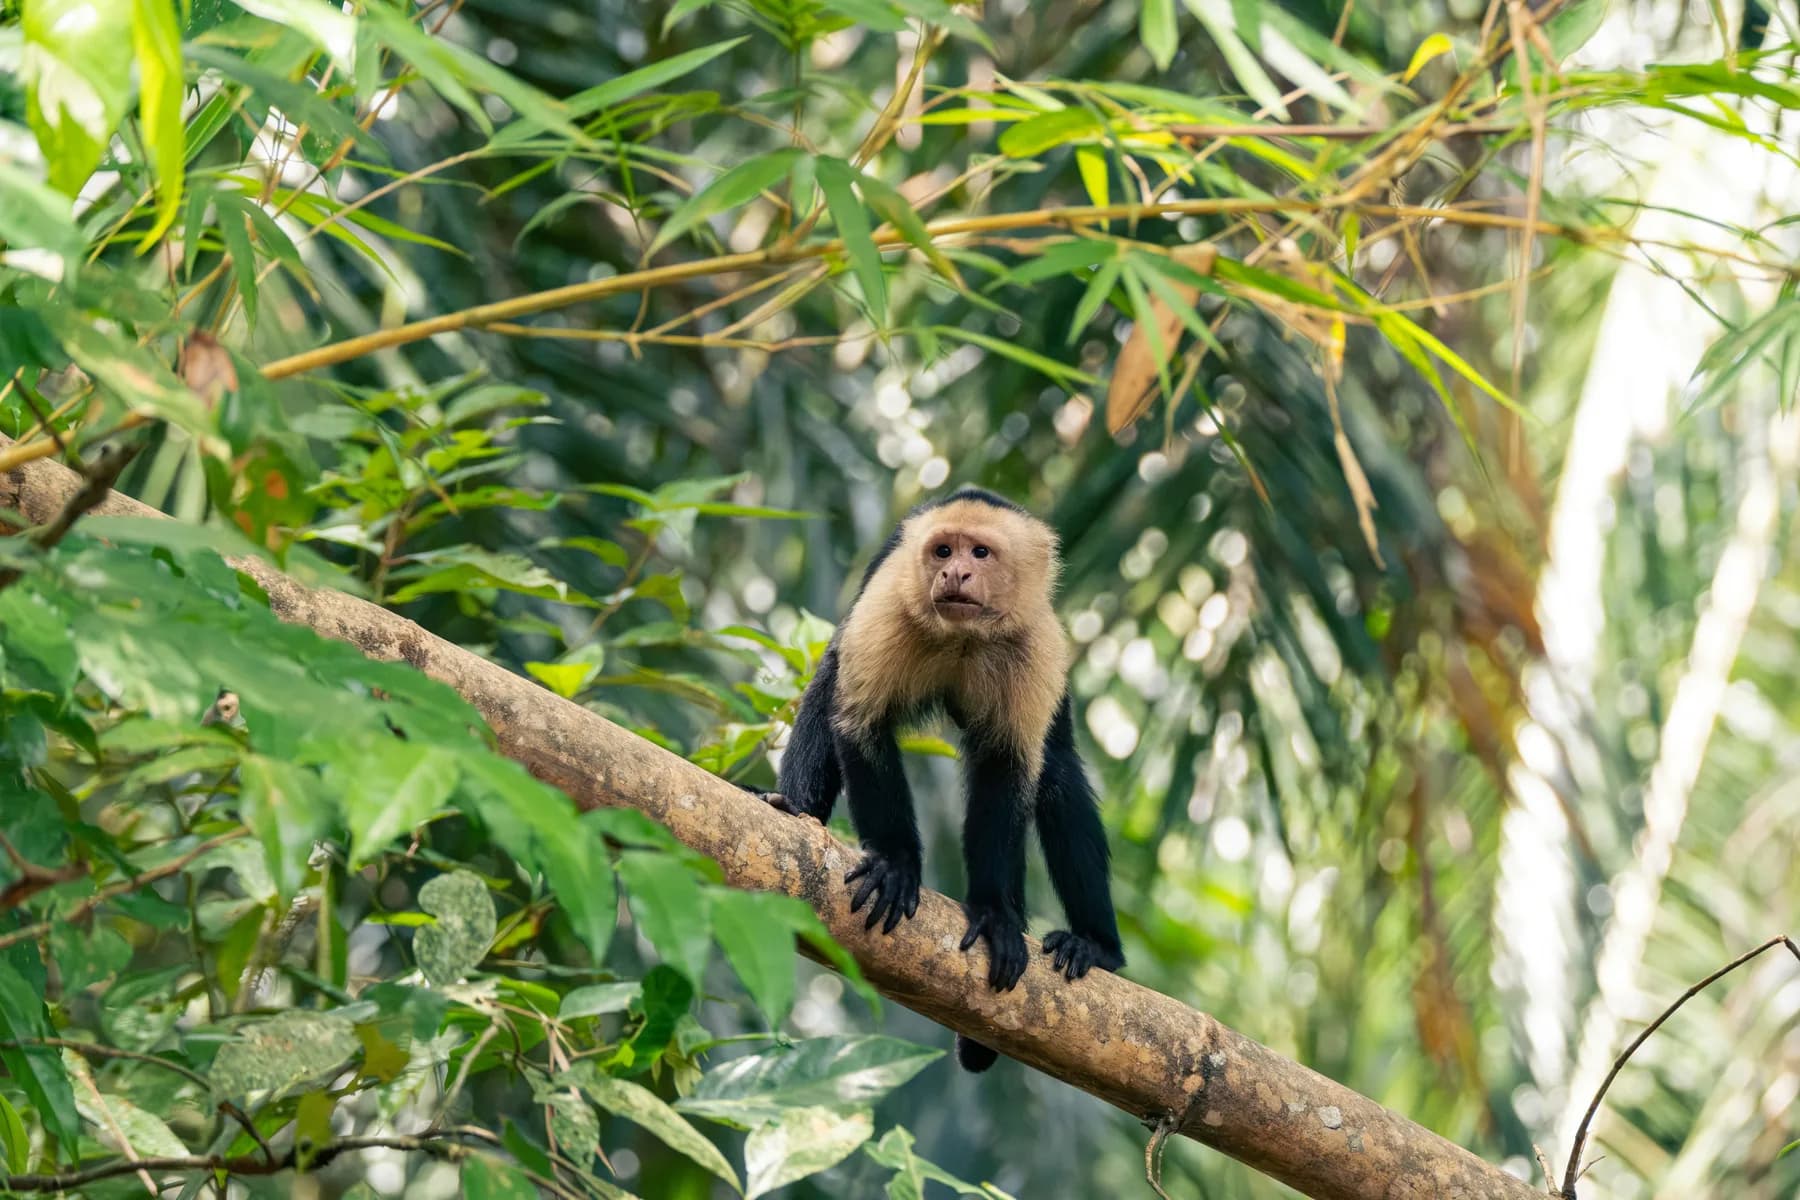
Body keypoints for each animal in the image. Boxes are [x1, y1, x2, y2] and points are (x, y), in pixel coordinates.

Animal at [757, 487, 1124, 1072]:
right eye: (943, 550)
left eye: (980, 553)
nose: (955, 573)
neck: (964, 636)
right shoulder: (888, 606)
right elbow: (860, 723)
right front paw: (895, 864)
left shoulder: (1035, 644)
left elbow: (1008, 769)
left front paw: (995, 913)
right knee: (831, 676)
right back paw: (792, 808)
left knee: (1058, 773)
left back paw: (1096, 944)